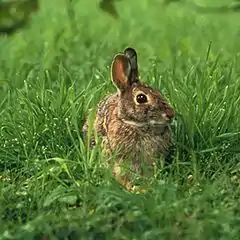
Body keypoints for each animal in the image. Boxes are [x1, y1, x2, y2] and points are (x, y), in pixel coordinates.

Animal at [82, 47, 174, 192]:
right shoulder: (118, 161)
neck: (136, 124)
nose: (171, 114)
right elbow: (120, 177)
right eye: (141, 98)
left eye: (159, 92)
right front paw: (135, 189)